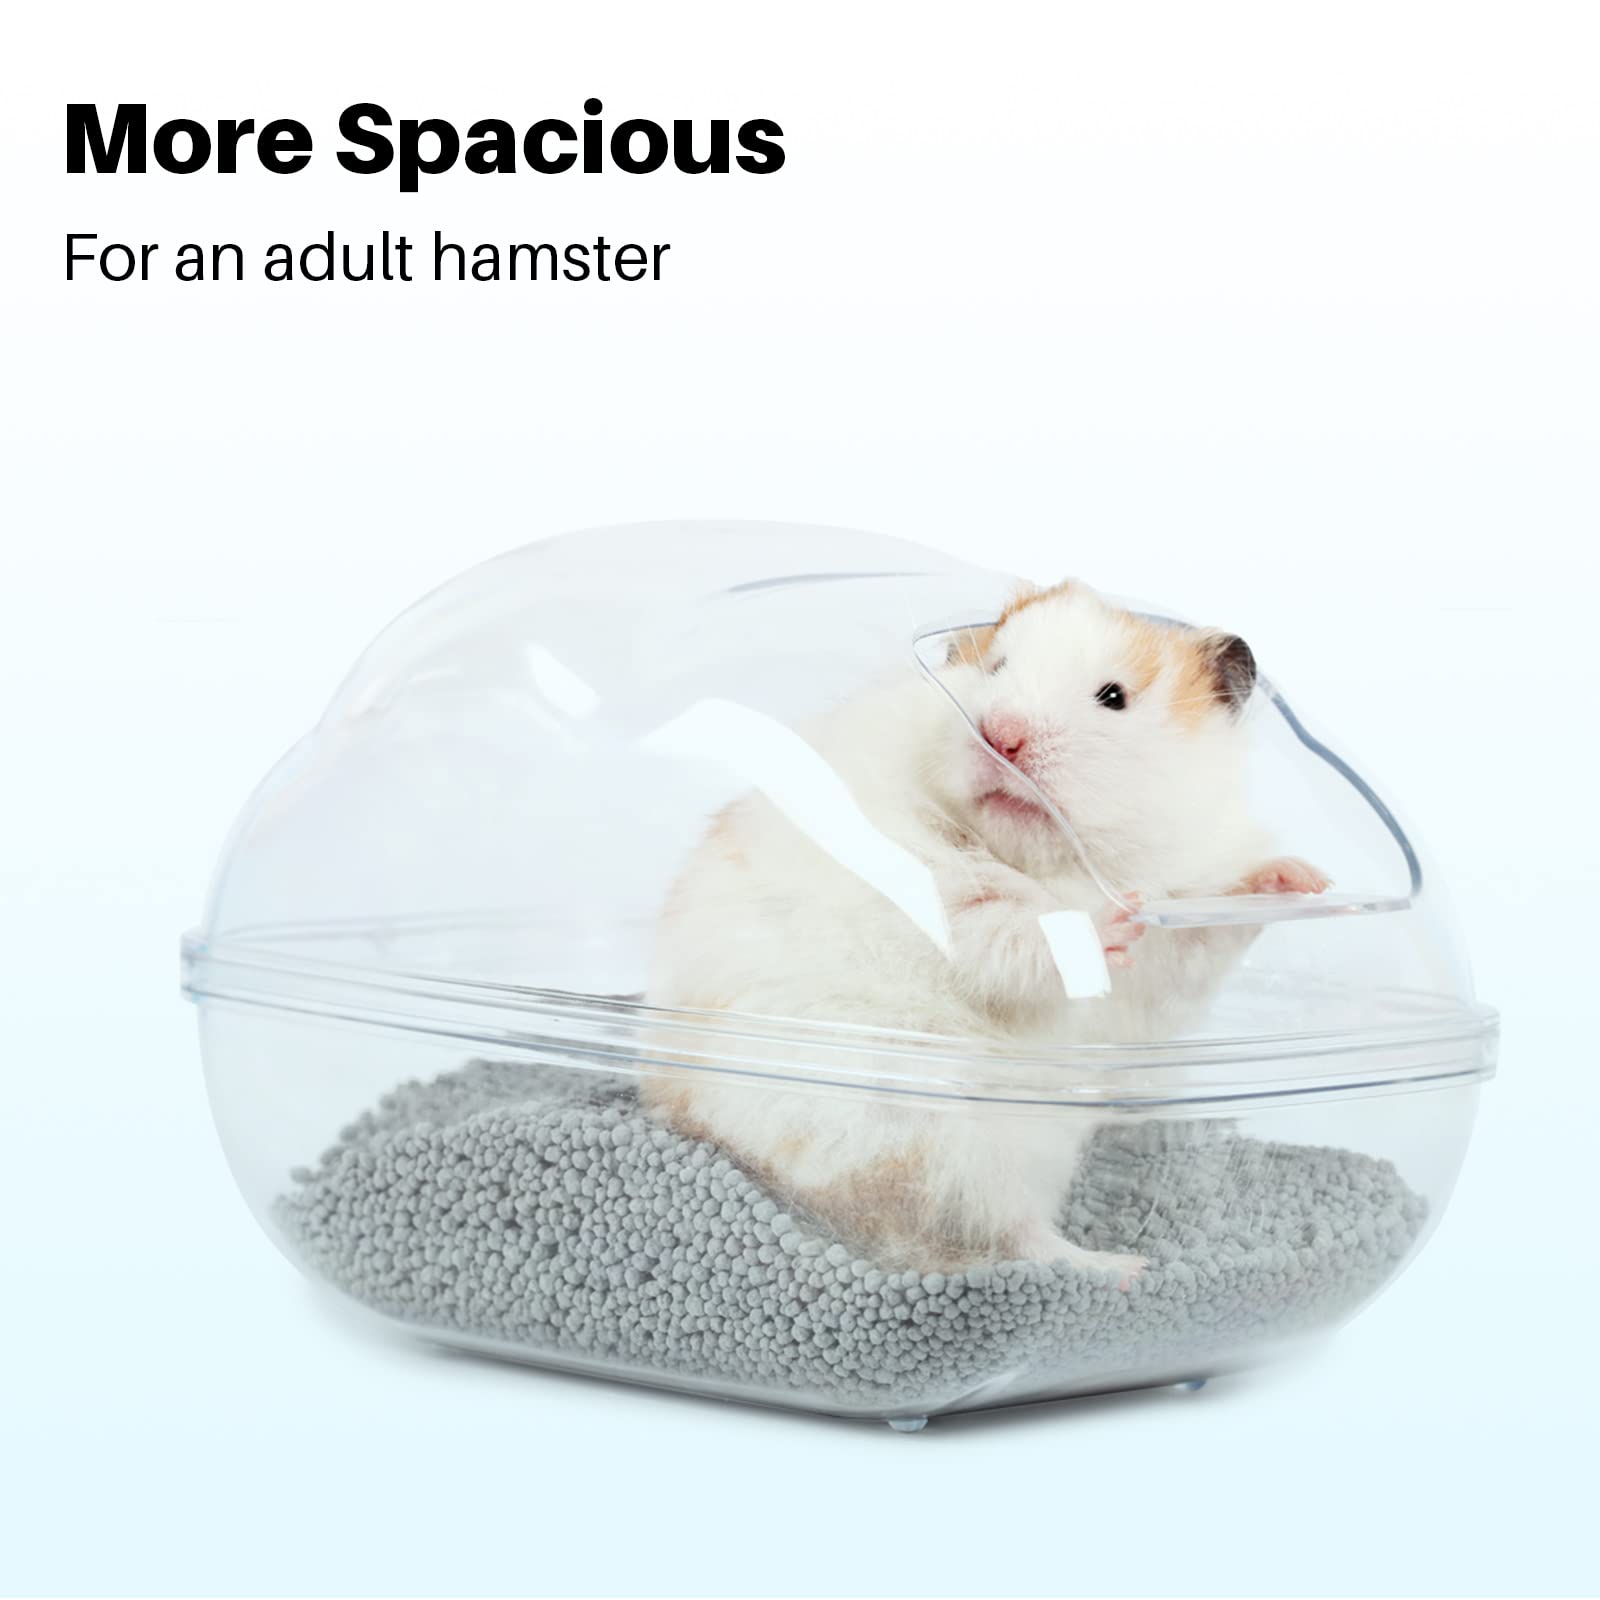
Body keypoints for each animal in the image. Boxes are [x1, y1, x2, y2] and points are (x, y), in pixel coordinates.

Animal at [643, 579, 1328, 1280]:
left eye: (1114, 696)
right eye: (996, 668)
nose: (1002, 736)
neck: (1049, 861)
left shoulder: (1170, 956)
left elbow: (1200, 933)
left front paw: (1302, 880)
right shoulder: (948, 895)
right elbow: (1016, 934)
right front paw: (1111, 920)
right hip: (939, 1135)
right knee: (1011, 1233)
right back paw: (1122, 1269)